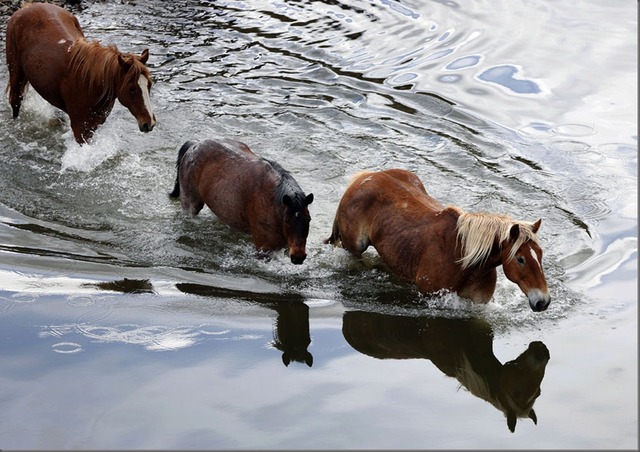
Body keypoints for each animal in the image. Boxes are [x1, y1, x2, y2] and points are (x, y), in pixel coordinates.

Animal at [5, 2, 156, 144]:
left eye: (149, 85)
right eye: (132, 89)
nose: (149, 123)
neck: (89, 82)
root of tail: (27, 7)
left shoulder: (95, 124)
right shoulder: (80, 129)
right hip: (16, 72)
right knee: (15, 101)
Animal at [170, 139, 314, 265]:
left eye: (308, 219)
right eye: (286, 220)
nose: (298, 257)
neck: (272, 202)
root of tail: (195, 144)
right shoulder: (264, 248)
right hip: (190, 203)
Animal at [326, 169, 550, 311]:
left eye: (540, 254)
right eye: (520, 259)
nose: (544, 302)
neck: (464, 258)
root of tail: (366, 177)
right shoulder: (430, 295)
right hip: (354, 248)